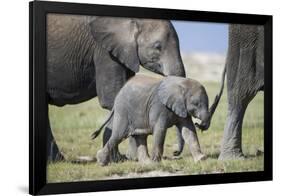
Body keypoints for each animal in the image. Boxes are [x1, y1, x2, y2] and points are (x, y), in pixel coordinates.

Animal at [47, 13, 185, 161]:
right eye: (157, 46)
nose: (175, 152)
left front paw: (130, 158)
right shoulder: (104, 51)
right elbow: (113, 99)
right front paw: (121, 159)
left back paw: (56, 160)